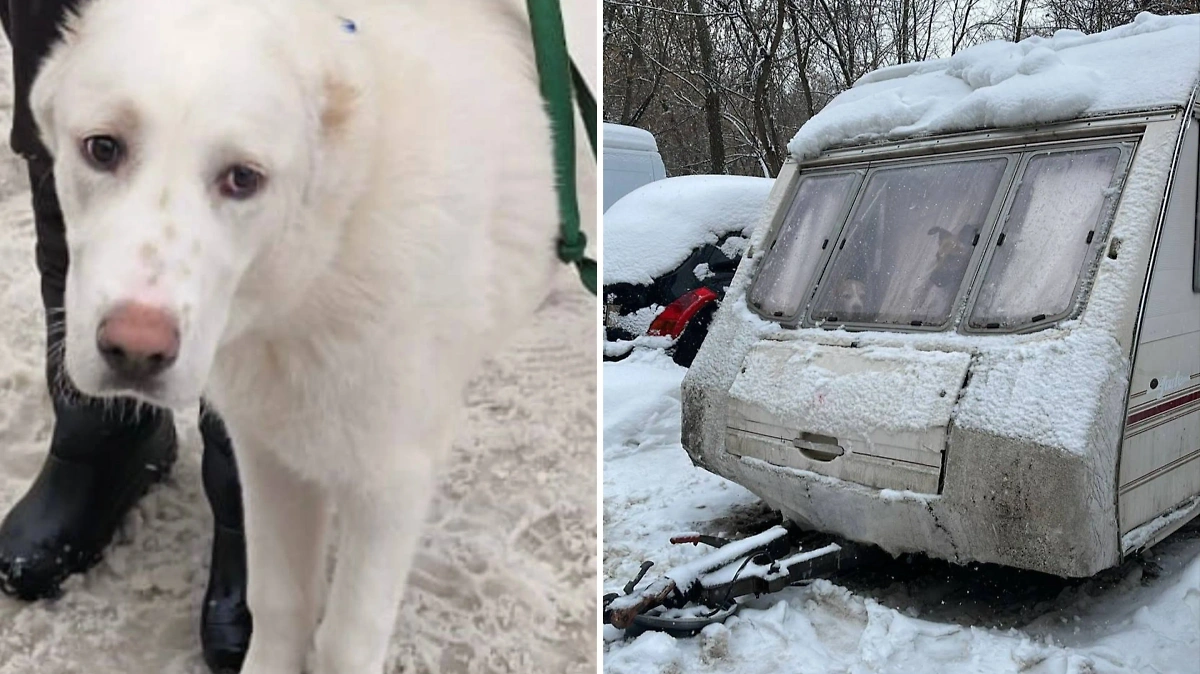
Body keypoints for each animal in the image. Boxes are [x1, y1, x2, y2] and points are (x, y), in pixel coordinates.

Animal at [29, 1, 571, 671]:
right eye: (102, 148)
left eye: (243, 178)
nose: (134, 349)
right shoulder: (268, 450)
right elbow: (279, 602)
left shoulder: (392, 478)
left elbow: (346, 639)